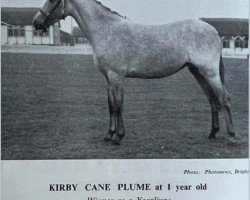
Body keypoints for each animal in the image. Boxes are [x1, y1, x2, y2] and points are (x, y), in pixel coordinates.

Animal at [34, 0, 235, 145]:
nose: (36, 22)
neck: (106, 30)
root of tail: (214, 31)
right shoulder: (108, 78)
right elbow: (110, 106)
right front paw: (108, 135)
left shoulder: (117, 77)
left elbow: (118, 106)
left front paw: (118, 137)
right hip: (198, 72)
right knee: (212, 99)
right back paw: (212, 133)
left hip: (209, 72)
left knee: (223, 98)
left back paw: (232, 136)